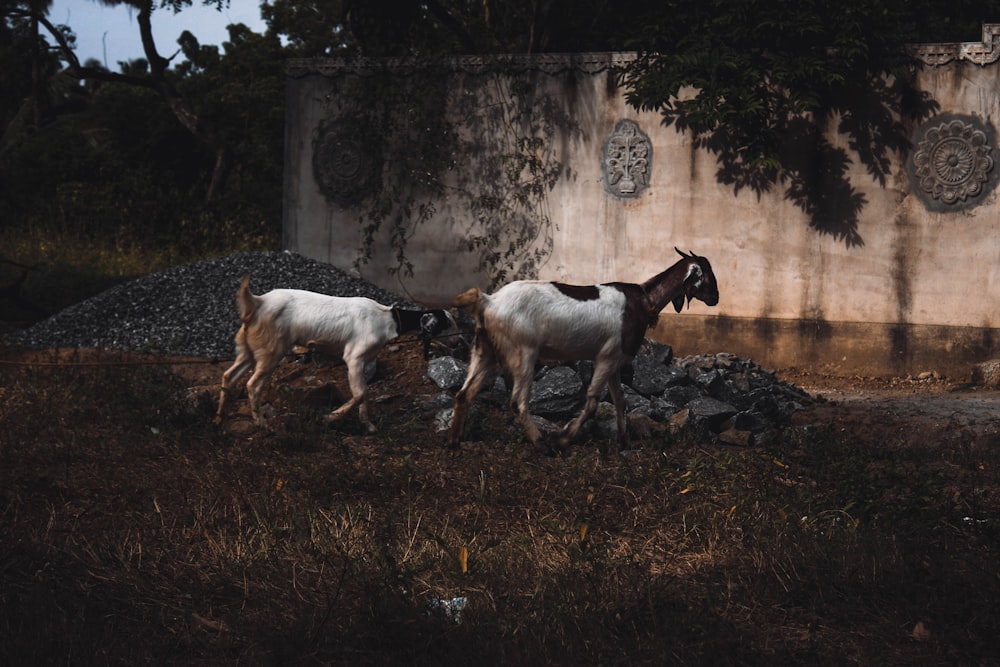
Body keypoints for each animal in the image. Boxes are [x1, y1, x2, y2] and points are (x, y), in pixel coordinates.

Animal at [219, 272, 458, 434]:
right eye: (447, 323)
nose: (459, 341)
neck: (387, 319)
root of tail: (258, 302)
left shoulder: (364, 361)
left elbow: (364, 393)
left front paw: (368, 425)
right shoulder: (354, 357)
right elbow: (360, 393)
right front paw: (330, 418)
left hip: (249, 349)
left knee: (228, 376)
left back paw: (218, 419)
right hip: (271, 351)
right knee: (252, 385)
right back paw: (262, 424)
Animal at [448, 249, 720, 454]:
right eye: (708, 273)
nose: (716, 298)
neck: (644, 300)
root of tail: (488, 301)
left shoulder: (615, 359)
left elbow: (620, 400)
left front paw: (624, 441)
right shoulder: (606, 356)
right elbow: (592, 403)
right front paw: (564, 439)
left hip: (486, 350)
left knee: (464, 394)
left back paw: (455, 443)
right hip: (522, 351)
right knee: (517, 402)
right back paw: (541, 444)